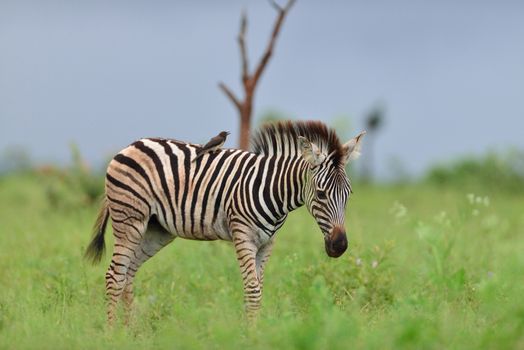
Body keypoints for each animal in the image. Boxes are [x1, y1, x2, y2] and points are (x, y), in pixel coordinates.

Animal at [85, 121, 364, 324]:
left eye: (349, 194)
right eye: (321, 194)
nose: (339, 246)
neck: (272, 189)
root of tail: (130, 145)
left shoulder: (267, 244)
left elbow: (258, 290)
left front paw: (254, 332)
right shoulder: (243, 236)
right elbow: (253, 291)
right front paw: (251, 337)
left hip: (156, 230)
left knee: (128, 274)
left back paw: (130, 331)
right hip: (129, 219)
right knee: (115, 275)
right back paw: (112, 334)